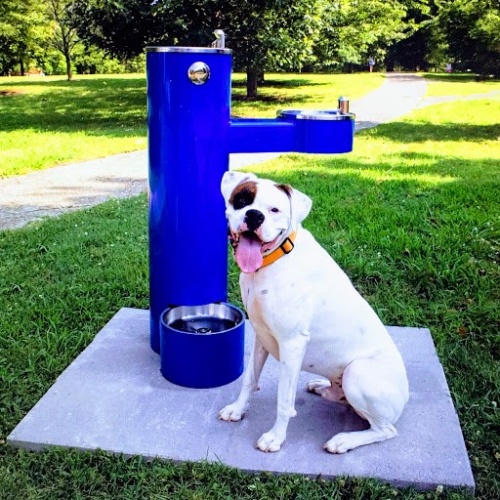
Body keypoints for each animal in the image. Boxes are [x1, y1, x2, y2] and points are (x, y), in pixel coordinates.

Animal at [219, 171, 410, 454]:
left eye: (274, 209)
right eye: (242, 200)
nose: (254, 215)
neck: (275, 259)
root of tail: (406, 395)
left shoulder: (292, 343)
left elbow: (284, 400)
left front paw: (275, 438)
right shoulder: (261, 336)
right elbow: (249, 379)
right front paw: (237, 410)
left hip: (357, 373)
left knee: (385, 430)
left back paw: (344, 440)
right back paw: (322, 387)